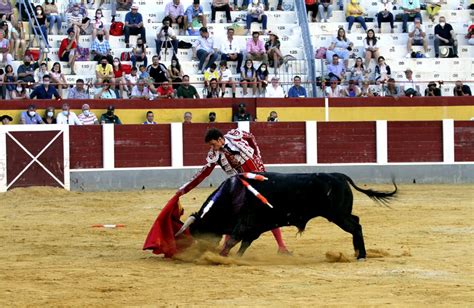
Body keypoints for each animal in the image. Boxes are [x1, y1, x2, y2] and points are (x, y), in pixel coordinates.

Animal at [179, 172, 396, 258]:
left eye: (200, 233)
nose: (198, 252)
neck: (233, 195)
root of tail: (338, 175)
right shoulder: (254, 229)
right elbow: (242, 245)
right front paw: (234, 258)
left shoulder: (246, 225)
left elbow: (233, 241)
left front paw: (222, 257)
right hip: (341, 214)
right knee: (356, 222)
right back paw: (358, 252)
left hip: (338, 215)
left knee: (356, 226)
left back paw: (362, 255)